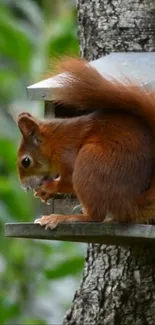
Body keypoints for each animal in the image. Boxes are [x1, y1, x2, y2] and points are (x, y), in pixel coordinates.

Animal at [17, 57, 155, 228]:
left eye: (26, 161)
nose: (24, 187)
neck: (54, 142)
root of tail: (131, 203)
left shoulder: (67, 153)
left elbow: (67, 181)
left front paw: (48, 188)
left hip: (89, 162)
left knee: (95, 216)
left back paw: (63, 217)